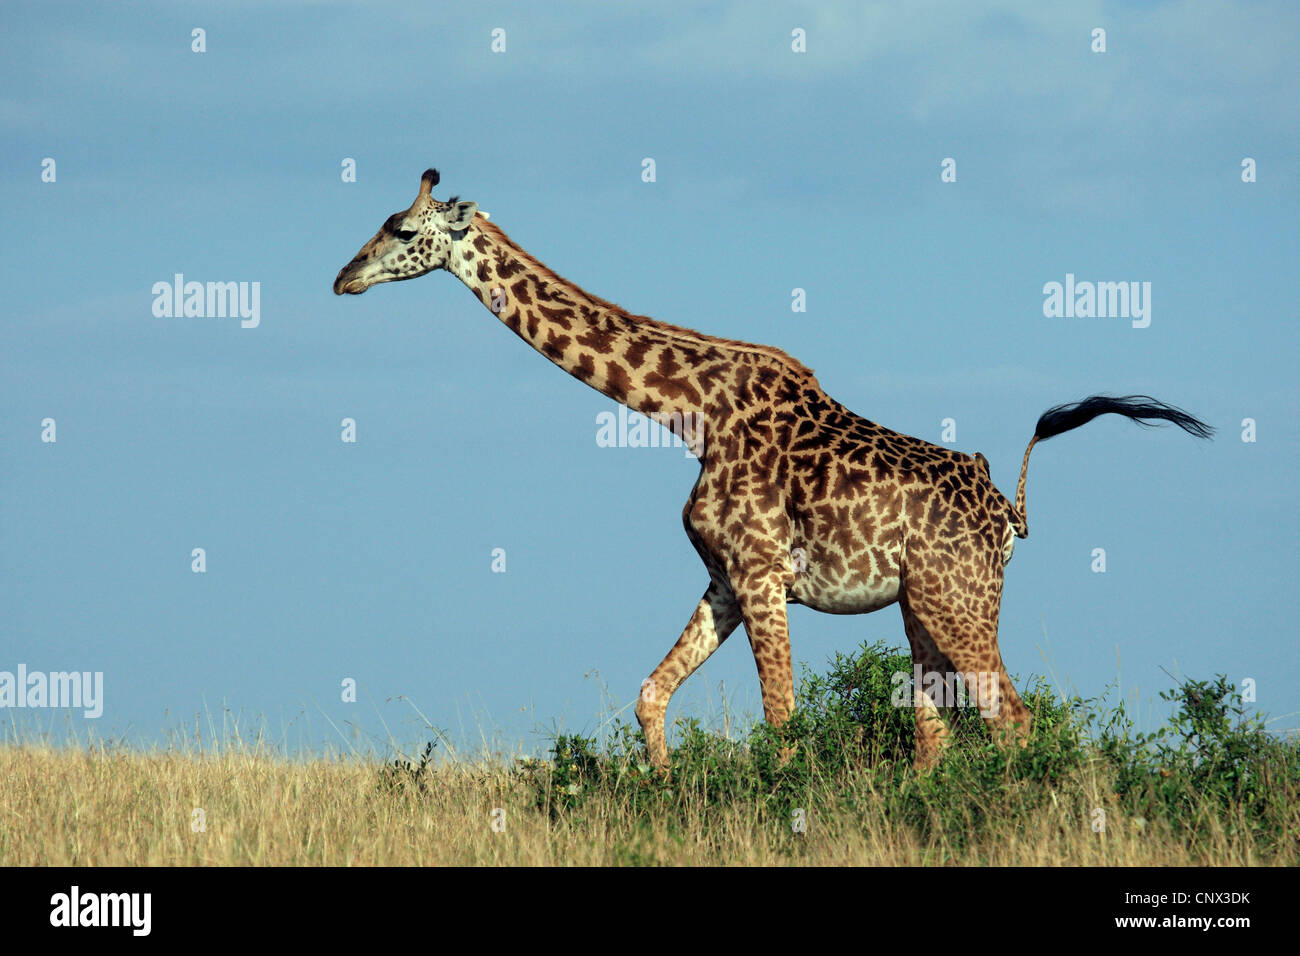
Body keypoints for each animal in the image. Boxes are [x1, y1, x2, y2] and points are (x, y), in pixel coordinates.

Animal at [330, 170, 1211, 770]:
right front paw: (661, 792)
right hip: (921, 605)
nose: (344, 277)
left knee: (1013, 720)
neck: (688, 411)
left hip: (959, 600)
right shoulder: (725, 577)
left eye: (401, 229)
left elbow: (781, 724)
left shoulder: (760, 573)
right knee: (934, 735)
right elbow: (650, 694)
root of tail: (1009, 513)